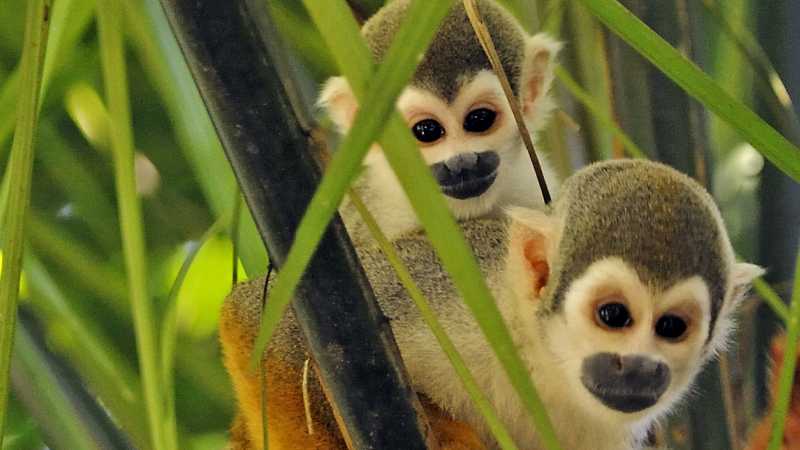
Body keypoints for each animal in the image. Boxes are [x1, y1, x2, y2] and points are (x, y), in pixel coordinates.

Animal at [220, 159, 763, 449]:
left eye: (672, 327)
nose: (639, 368)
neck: (543, 364)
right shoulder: (447, 292)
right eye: (613, 316)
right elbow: (262, 324)